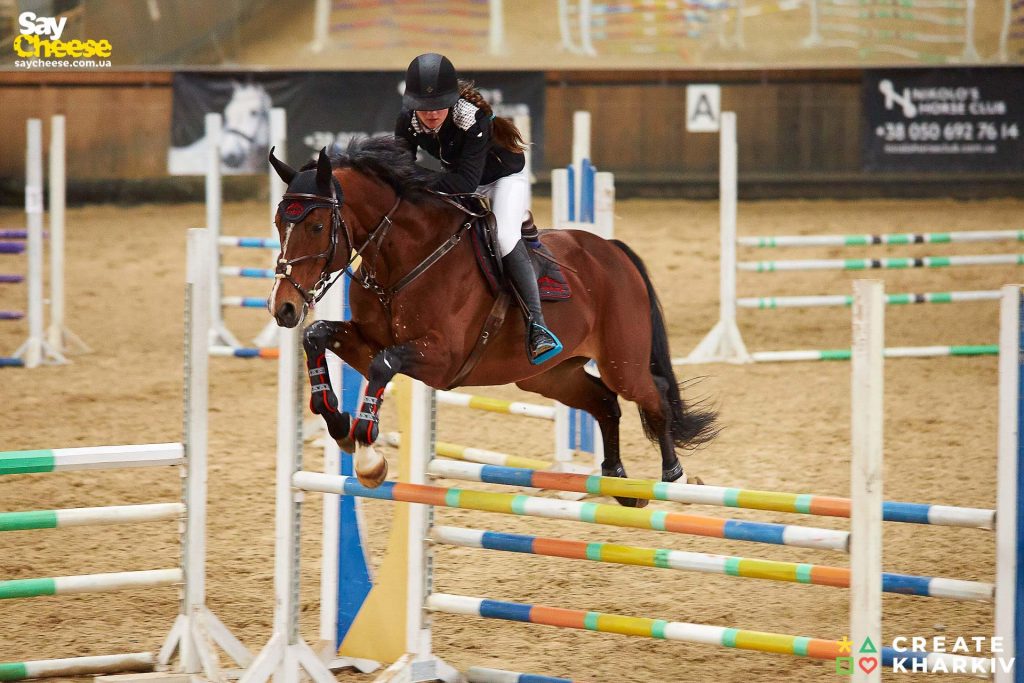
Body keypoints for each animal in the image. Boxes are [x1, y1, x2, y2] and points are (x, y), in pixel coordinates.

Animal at [268, 139, 716, 505]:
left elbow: (382, 366)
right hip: (548, 376)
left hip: (621, 362)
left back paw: (674, 479)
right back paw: (618, 481)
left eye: (316, 225)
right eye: (278, 223)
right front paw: (339, 424)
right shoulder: (368, 341)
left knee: (653, 395)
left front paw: (368, 458)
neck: (407, 260)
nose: (282, 307)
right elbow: (318, 336)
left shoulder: (440, 359)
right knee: (604, 402)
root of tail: (613, 251)